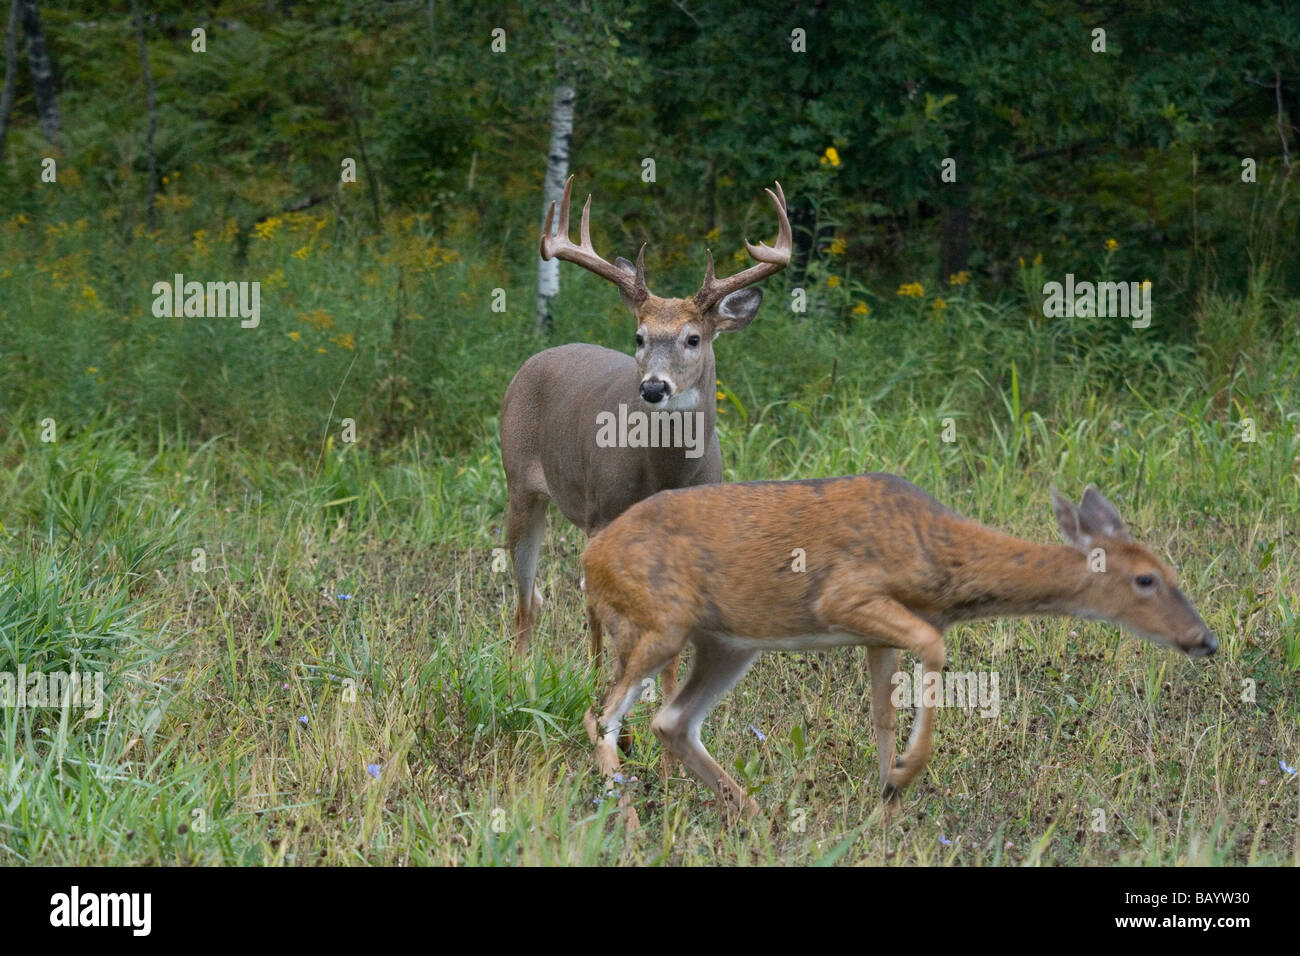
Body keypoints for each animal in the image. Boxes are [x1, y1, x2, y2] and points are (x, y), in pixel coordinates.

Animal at [500, 174, 792, 705]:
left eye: (693, 338)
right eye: (638, 337)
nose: (654, 387)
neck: (663, 473)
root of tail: (534, 360)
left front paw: (667, 696)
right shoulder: (601, 513)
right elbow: (594, 609)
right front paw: (596, 686)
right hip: (521, 485)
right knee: (527, 600)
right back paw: (522, 678)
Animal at [580, 475, 1217, 827]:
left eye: (1173, 572)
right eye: (1146, 579)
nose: (1205, 639)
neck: (939, 562)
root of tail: (590, 558)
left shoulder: (875, 636)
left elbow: (881, 715)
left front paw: (886, 808)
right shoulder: (845, 596)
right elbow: (934, 648)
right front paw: (905, 775)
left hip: (727, 641)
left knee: (671, 721)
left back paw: (760, 820)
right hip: (657, 622)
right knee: (602, 715)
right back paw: (629, 823)